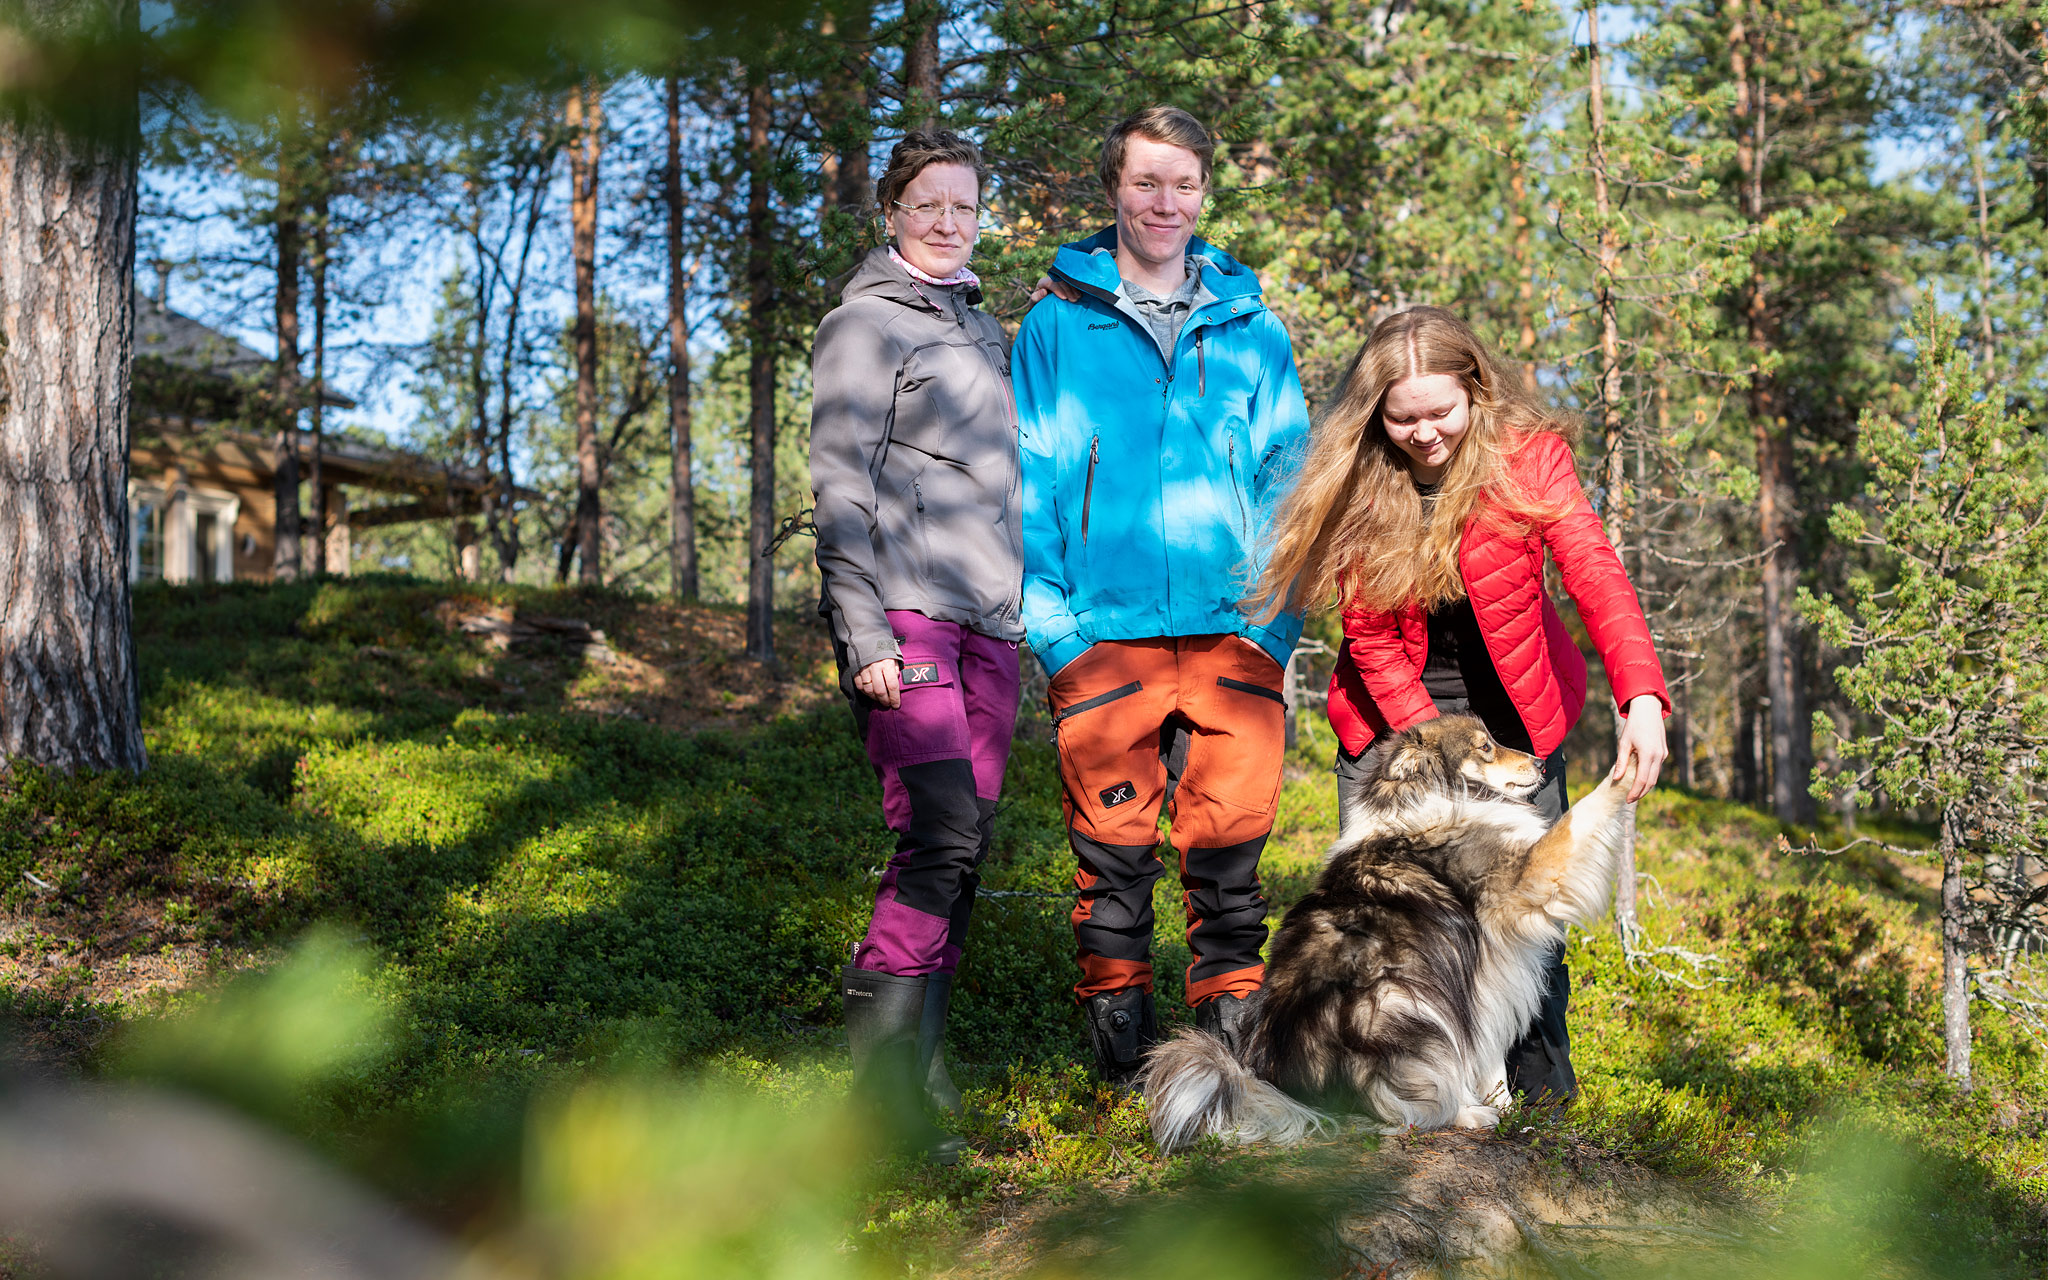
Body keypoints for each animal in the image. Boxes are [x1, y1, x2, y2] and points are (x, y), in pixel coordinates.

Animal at [1138, 708, 1630, 1146]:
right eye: (1485, 746)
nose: (1542, 763)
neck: (1437, 795)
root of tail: (1291, 1090)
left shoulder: (1485, 976)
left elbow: (1487, 1047)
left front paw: (1508, 1106)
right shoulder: (1526, 876)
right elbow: (1578, 818)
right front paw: (1624, 773)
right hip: (1399, 1003)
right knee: (1410, 1108)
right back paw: (1468, 1113)